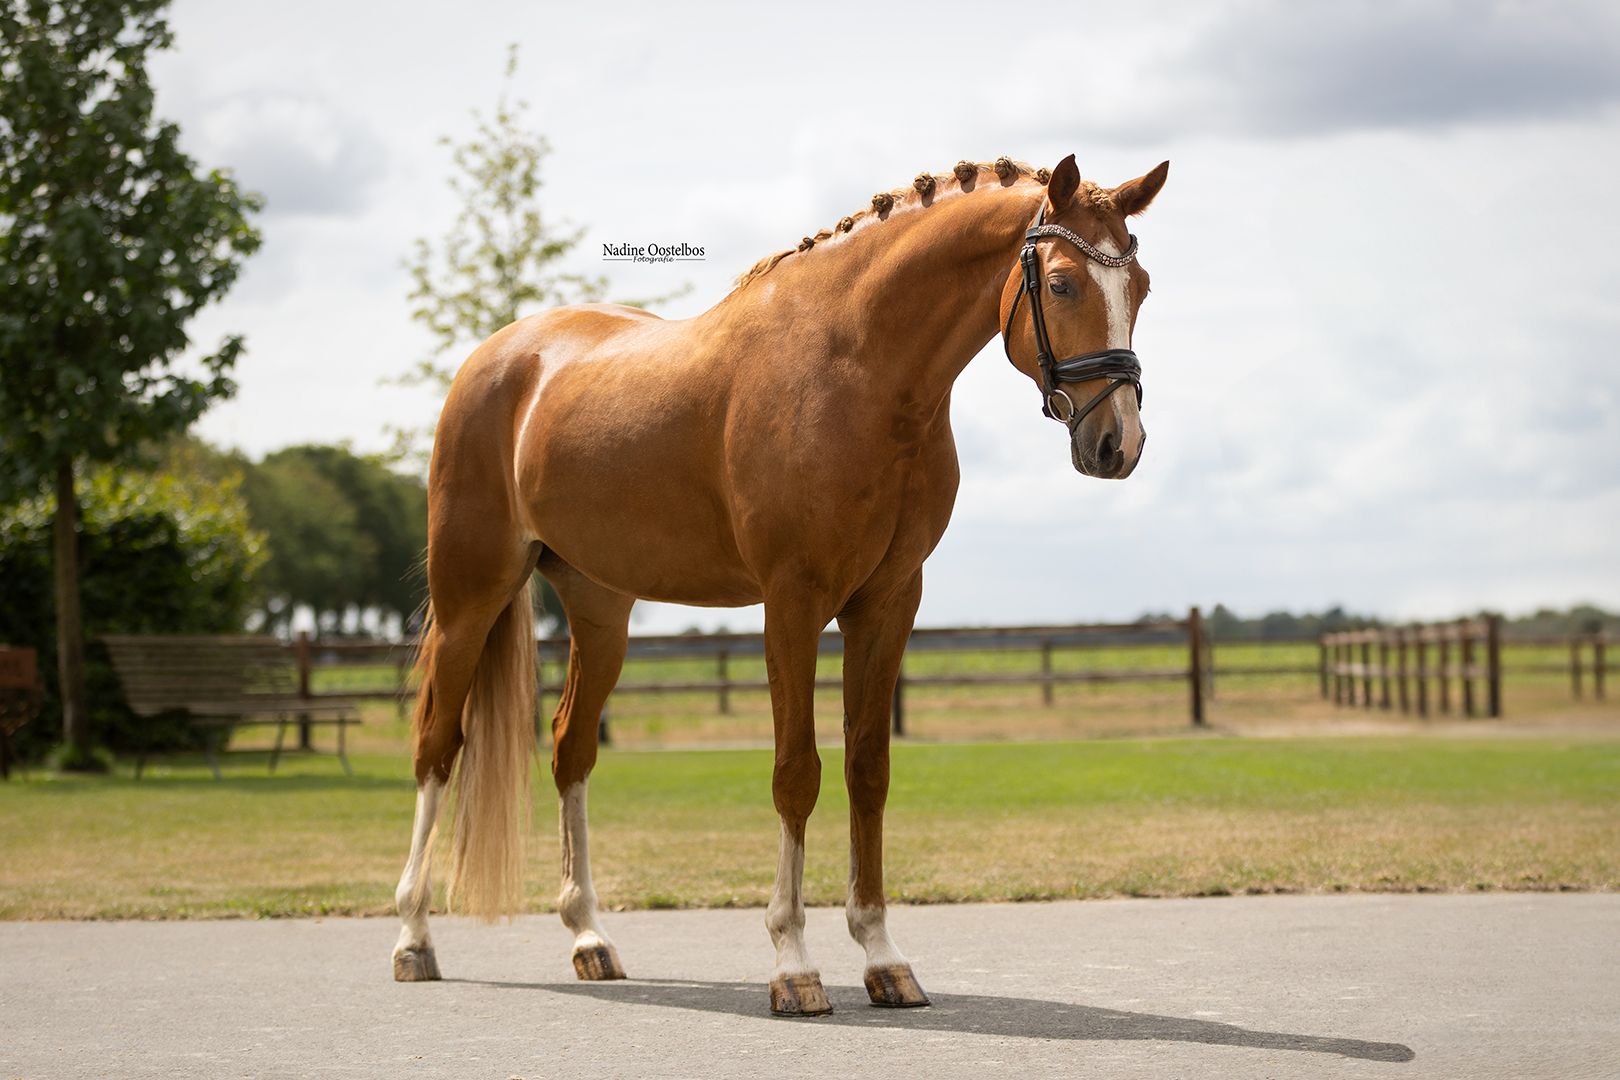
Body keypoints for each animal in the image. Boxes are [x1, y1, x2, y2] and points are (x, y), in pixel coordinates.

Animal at [390, 153, 1169, 1016]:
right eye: (1062, 284)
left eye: (1140, 287)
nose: (1118, 443)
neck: (857, 371)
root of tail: (498, 356)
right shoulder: (793, 603)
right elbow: (797, 773)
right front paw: (794, 963)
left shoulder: (887, 604)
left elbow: (868, 770)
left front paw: (882, 956)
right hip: (472, 594)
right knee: (437, 745)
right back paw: (414, 939)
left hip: (600, 610)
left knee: (570, 749)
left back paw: (590, 937)